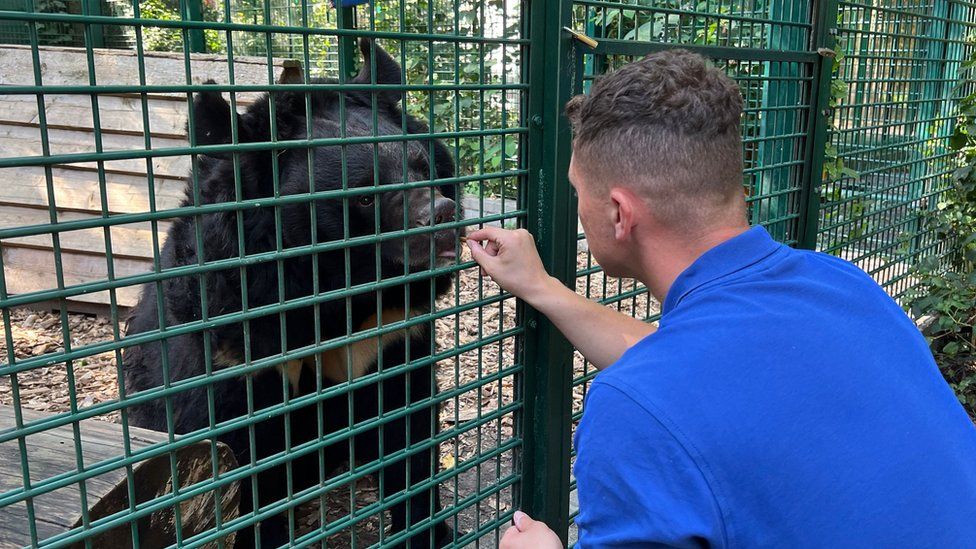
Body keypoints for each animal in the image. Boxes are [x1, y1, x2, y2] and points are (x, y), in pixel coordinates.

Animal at [122, 39, 458, 548]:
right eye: (364, 196)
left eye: (423, 167)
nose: (443, 216)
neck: (336, 293)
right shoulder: (237, 346)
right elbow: (247, 460)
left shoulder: (391, 331)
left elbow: (408, 428)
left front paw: (428, 530)